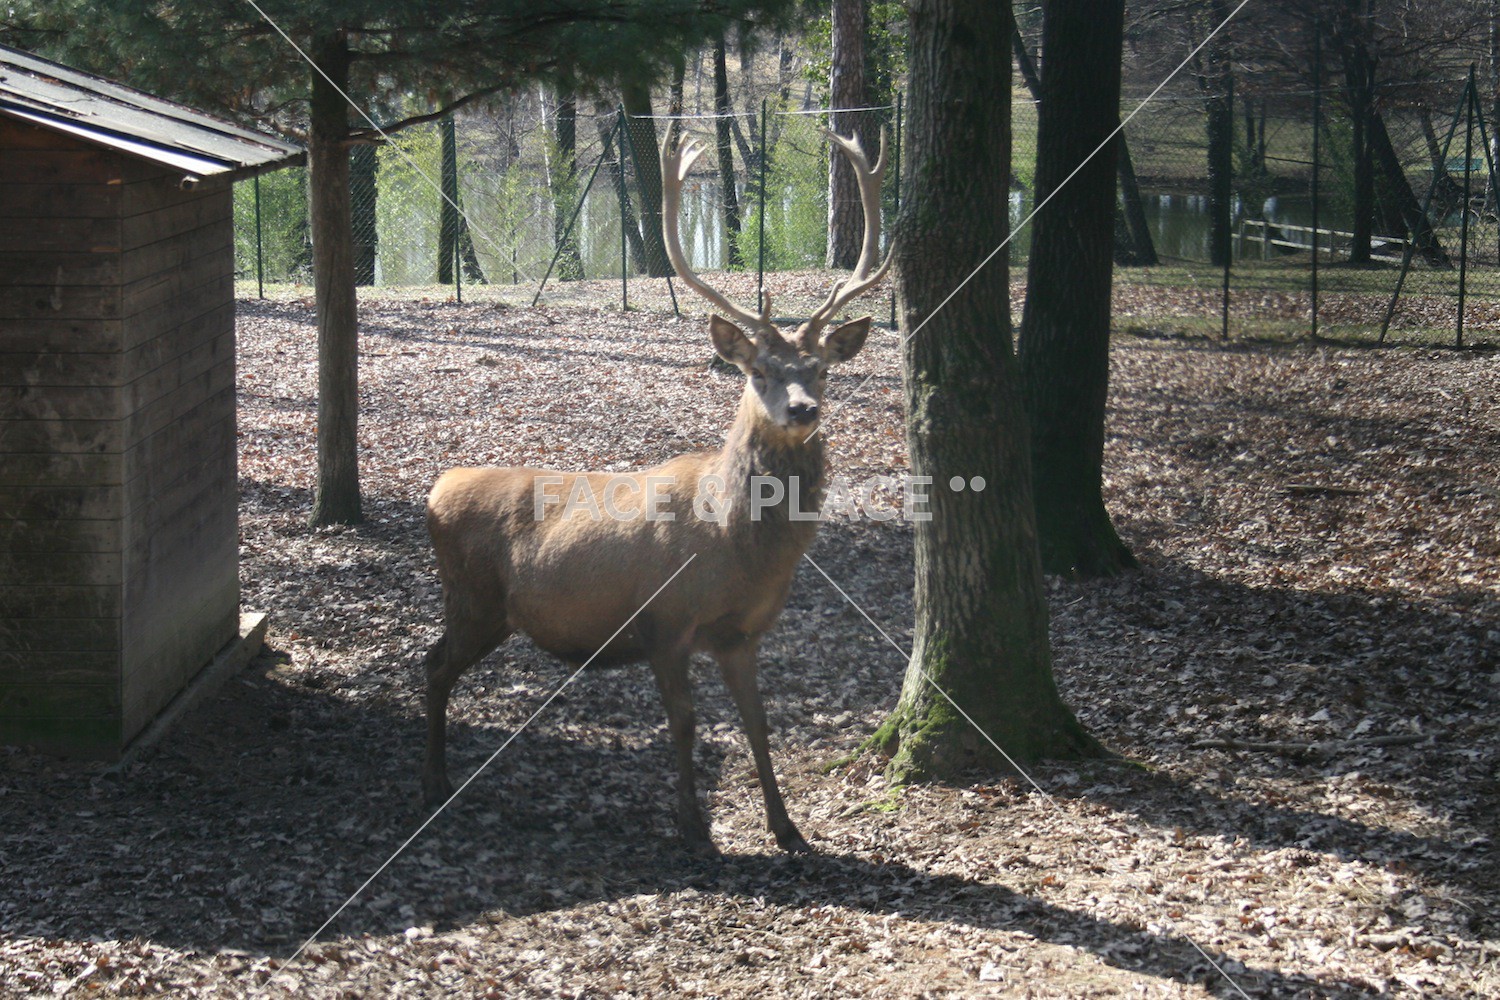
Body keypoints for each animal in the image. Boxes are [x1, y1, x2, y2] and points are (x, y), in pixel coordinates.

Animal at [420, 128, 893, 856]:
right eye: (759, 370)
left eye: (819, 369)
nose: (803, 409)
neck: (736, 547)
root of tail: (435, 490)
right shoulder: (664, 621)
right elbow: (686, 722)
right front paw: (692, 823)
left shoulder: (742, 635)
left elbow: (758, 725)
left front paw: (786, 828)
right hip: (473, 599)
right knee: (433, 666)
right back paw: (436, 782)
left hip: (484, 608)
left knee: (430, 662)